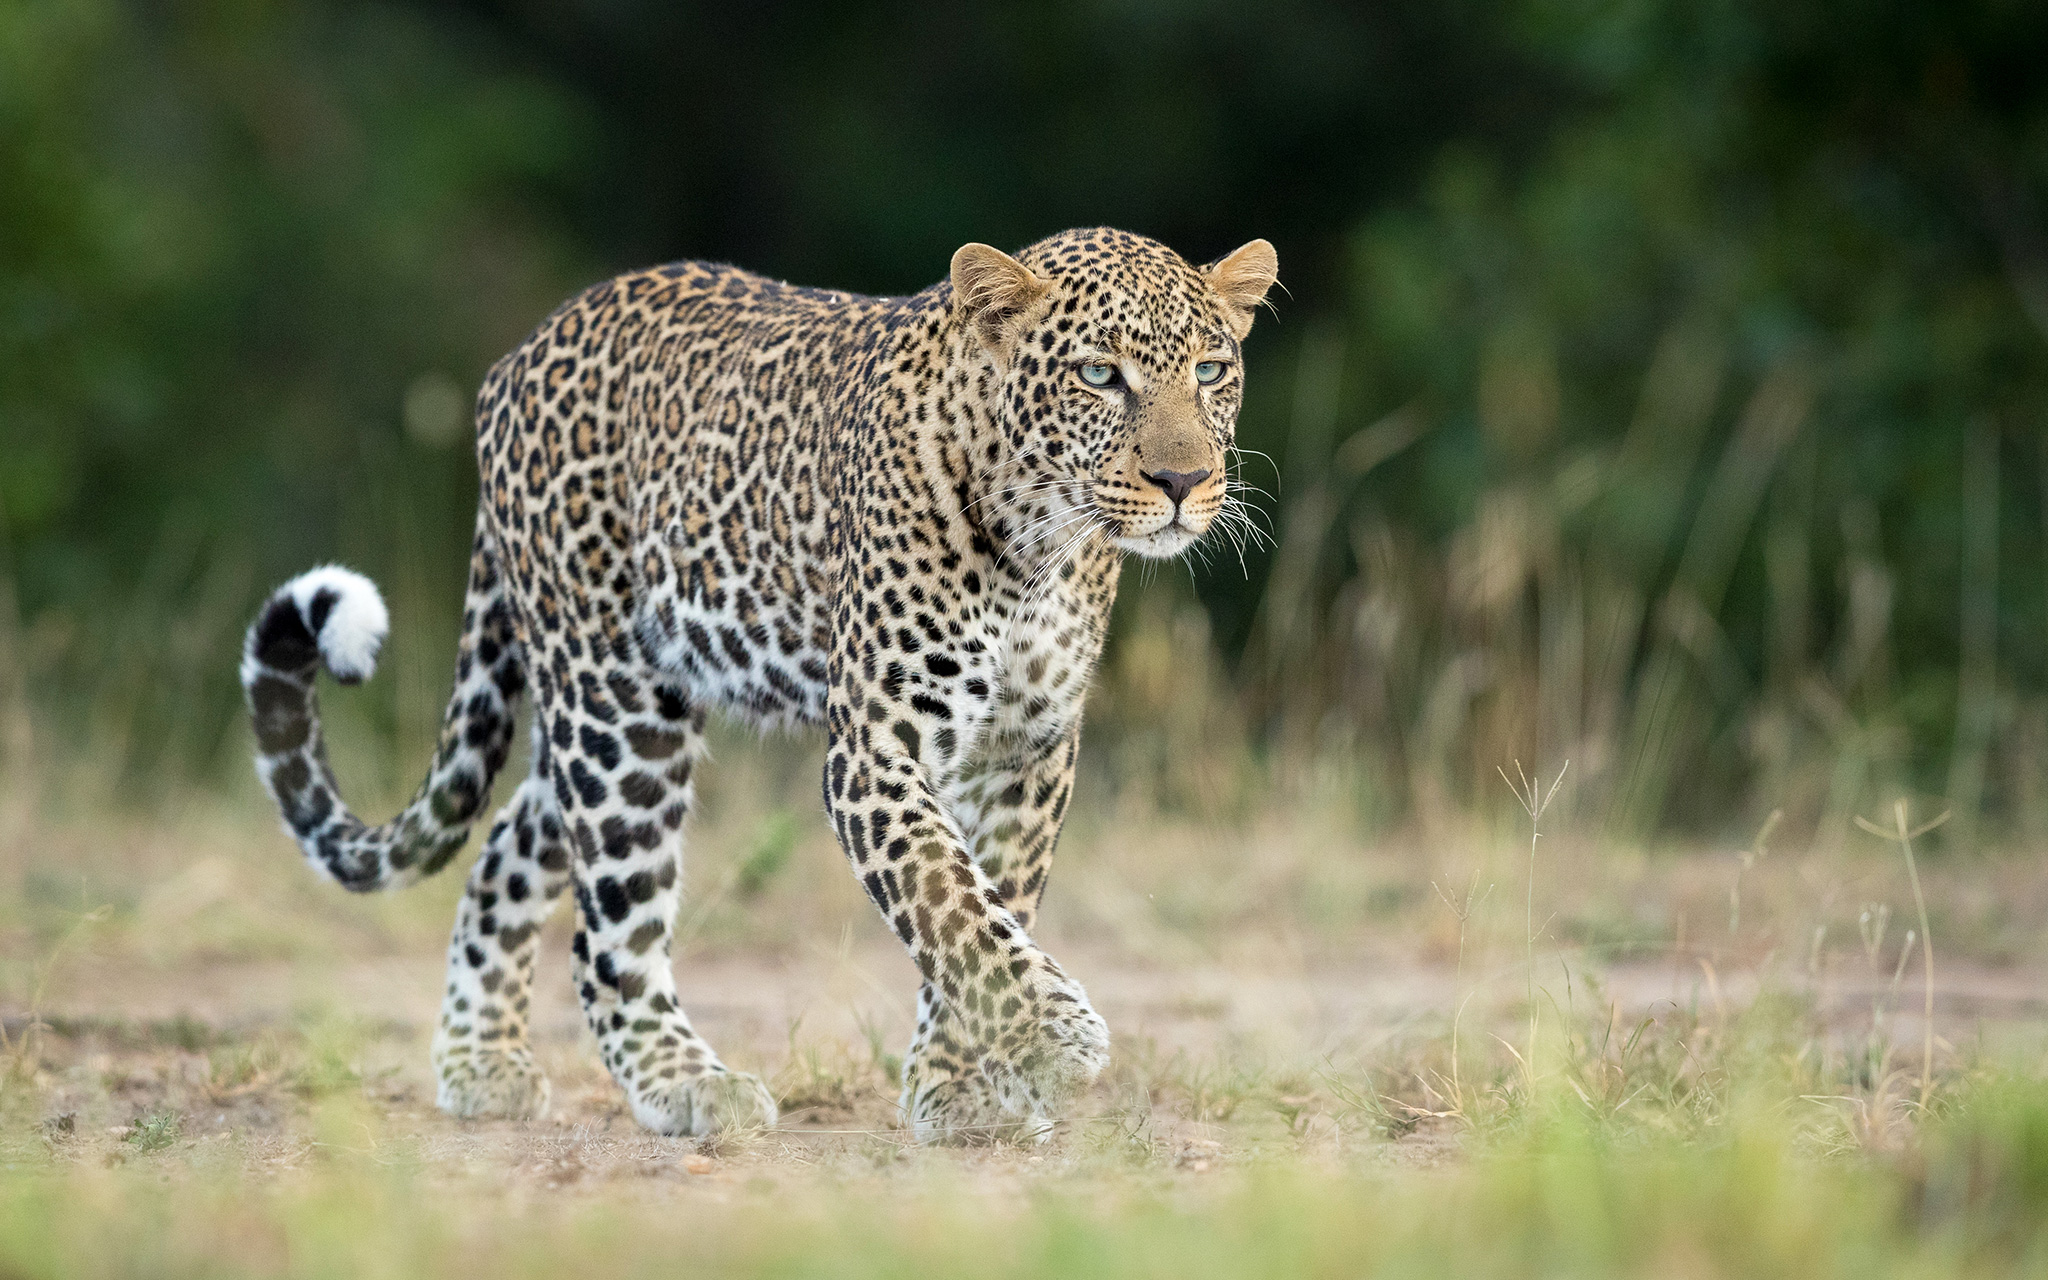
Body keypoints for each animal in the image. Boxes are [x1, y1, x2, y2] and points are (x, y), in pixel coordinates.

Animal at [240, 226, 1278, 1142]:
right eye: (1100, 376)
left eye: (1210, 372)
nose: (1184, 480)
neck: (1041, 548)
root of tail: (520, 355)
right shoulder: (876, 747)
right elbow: (949, 900)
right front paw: (1056, 1040)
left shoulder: (1028, 752)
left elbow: (994, 906)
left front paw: (961, 1088)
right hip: (617, 708)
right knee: (608, 930)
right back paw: (685, 1083)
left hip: (605, 712)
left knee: (507, 850)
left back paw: (478, 1065)